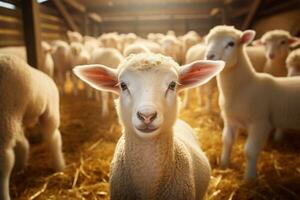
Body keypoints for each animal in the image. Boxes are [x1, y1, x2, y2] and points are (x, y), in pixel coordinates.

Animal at [0, 54, 65, 200]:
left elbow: (4, 163)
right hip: (16, 120)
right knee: (24, 143)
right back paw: (21, 166)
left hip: (48, 113)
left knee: (54, 139)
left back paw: (59, 166)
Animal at [205, 25, 300, 181]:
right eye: (207, 41)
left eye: (231, 43)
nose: (209, 56)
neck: (245, 86)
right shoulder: (230, 120)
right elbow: (227, 141)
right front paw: (224, 165)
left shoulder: (260, 124)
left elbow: (250, 151)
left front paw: (249, 179)